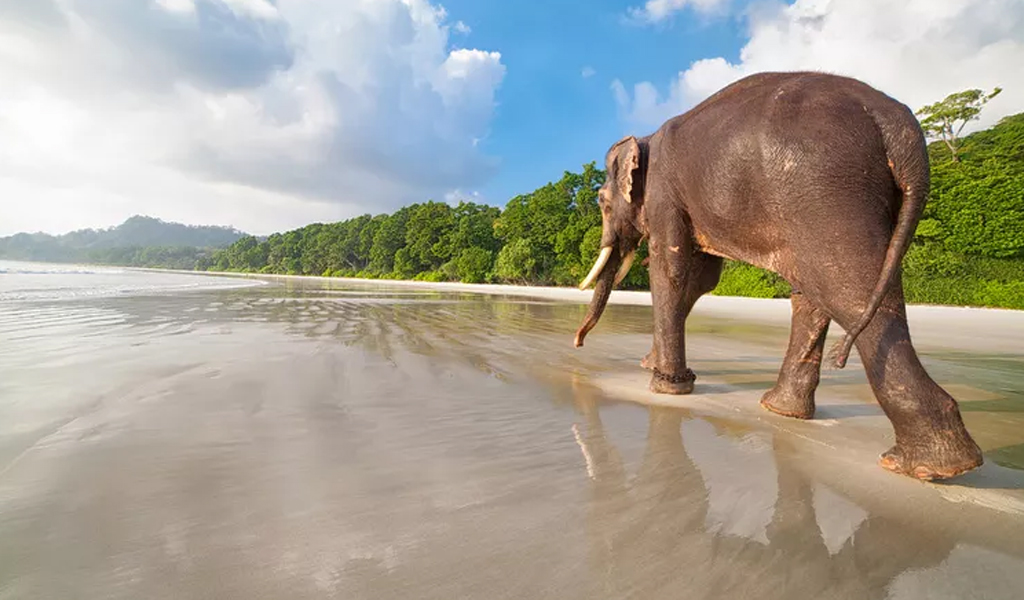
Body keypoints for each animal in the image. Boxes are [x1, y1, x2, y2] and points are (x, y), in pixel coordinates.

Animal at [577, 70, 983, 481]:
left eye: (601, 202)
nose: (577, 343)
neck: (644, 138)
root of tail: (896, 122)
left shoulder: (664, 194)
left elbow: (672, 269)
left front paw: (664, 386)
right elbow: (701, 278)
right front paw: (655, 367)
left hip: (822, 188)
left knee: (846, 288)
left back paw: (929, 467)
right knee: (821, 290)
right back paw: (784, 411)